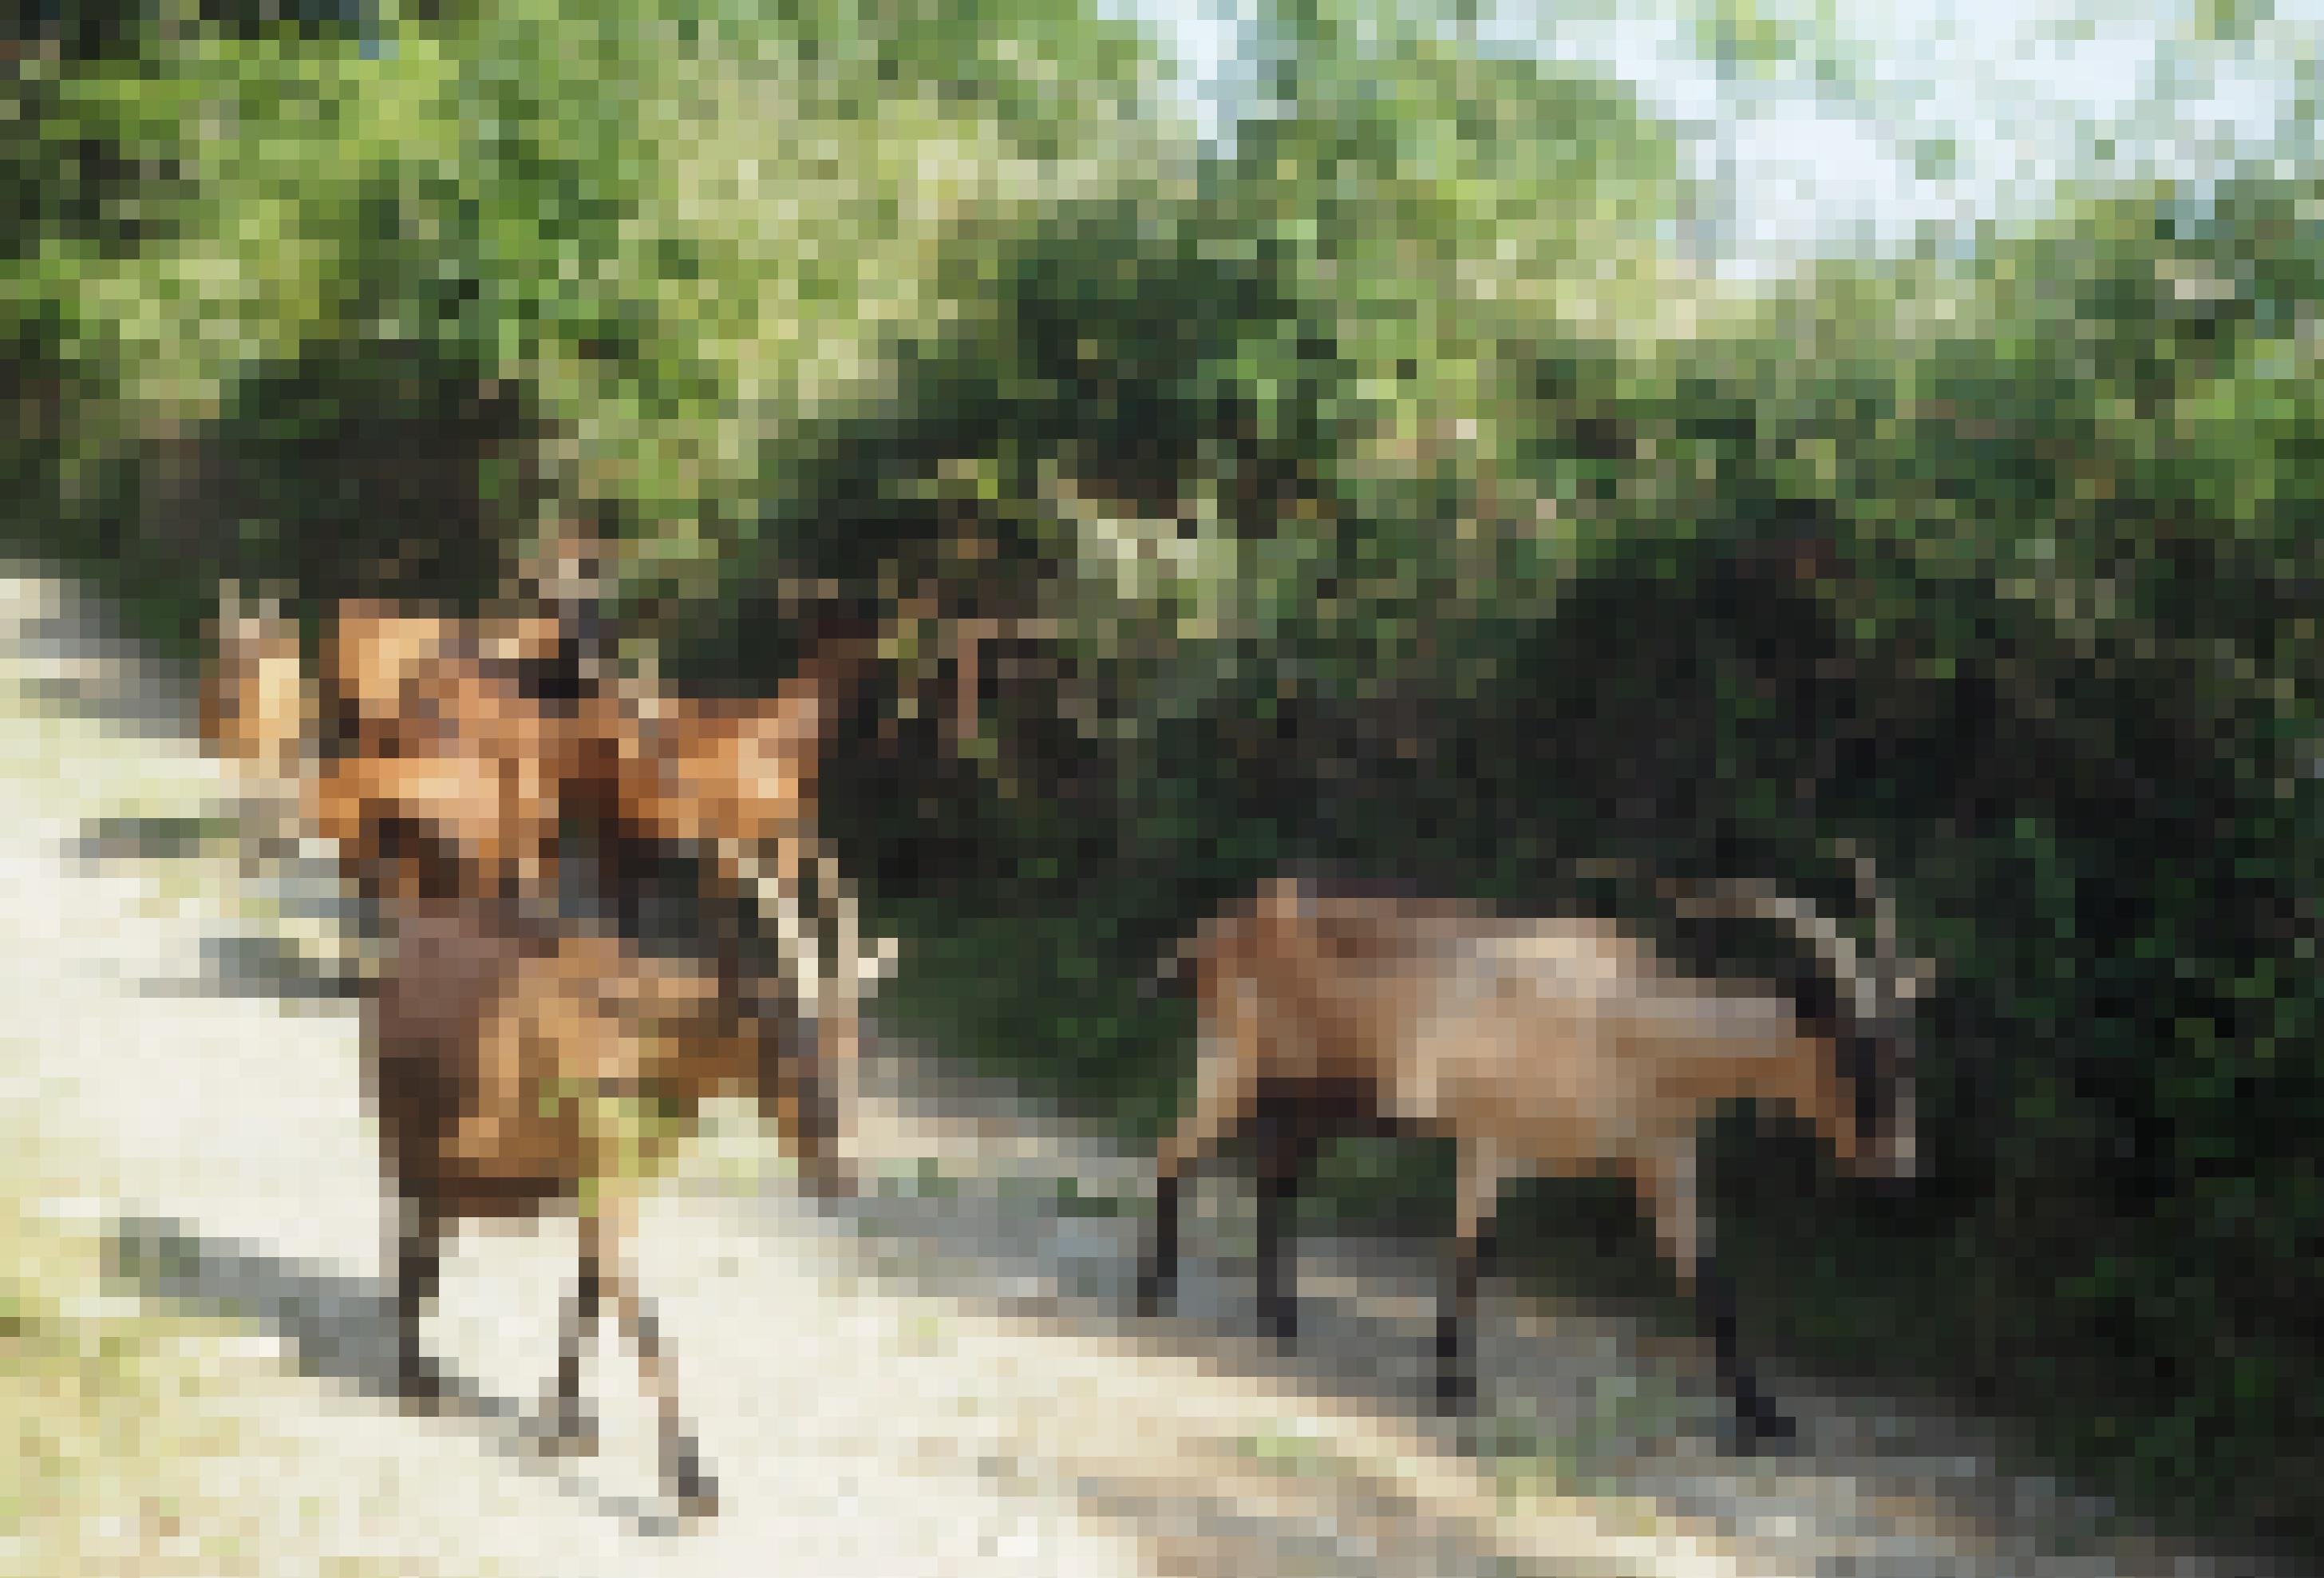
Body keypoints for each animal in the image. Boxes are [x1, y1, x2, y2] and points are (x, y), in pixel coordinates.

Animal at [1134, 860, 1933, 1449]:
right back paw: (1153, 1292)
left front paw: (1766, 1418)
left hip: (1321, 1096)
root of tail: (1223, 928)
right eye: (1855, 1055)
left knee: (1275, 1177)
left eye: (1907, 1054)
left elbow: (1711, 1280)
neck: (1627, 1020)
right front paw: (1453, 1385)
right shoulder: (1492, 1137)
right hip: (1237, 1060)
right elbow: (1470, 1251)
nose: (1898, 1164)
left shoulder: (1663, 1158)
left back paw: (1280, 1319)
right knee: (1174, 1151)